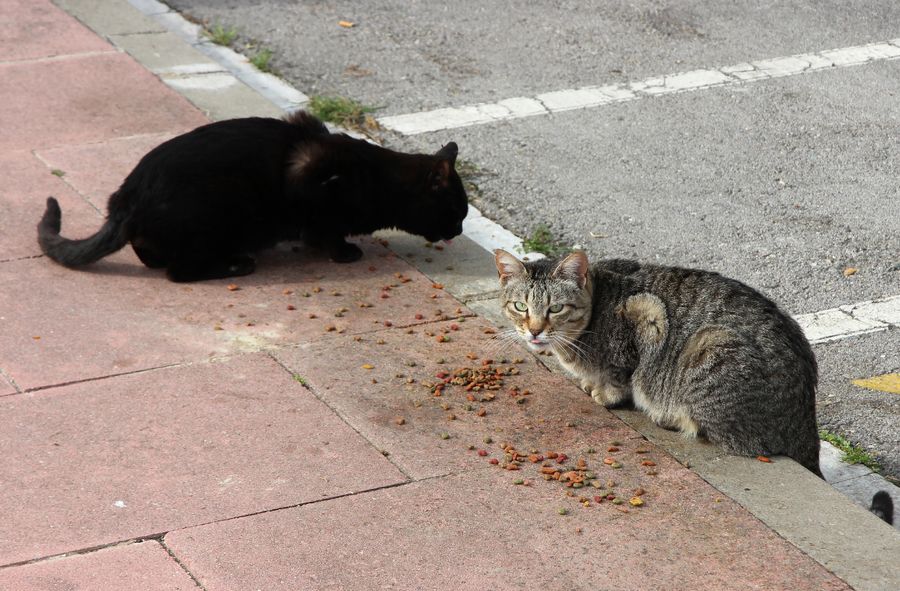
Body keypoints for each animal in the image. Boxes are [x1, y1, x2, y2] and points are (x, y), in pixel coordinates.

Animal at [37, 111, 468, 282]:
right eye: (457, 210)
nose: (461, 231)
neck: (376, 179)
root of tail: (127, 198)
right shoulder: (310, 173)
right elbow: (325, 227)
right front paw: (344, 252)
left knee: (152, 257)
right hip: (217, 214)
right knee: (180, 272)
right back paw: (236, 264)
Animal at [492, 249, 824, 476]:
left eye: (556, 308)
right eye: (520, 306)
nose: (534, 331)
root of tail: (806, 424)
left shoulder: (647, 317)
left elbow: (620, 376)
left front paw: (606, 394)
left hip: (711, 346)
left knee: (737, 441)